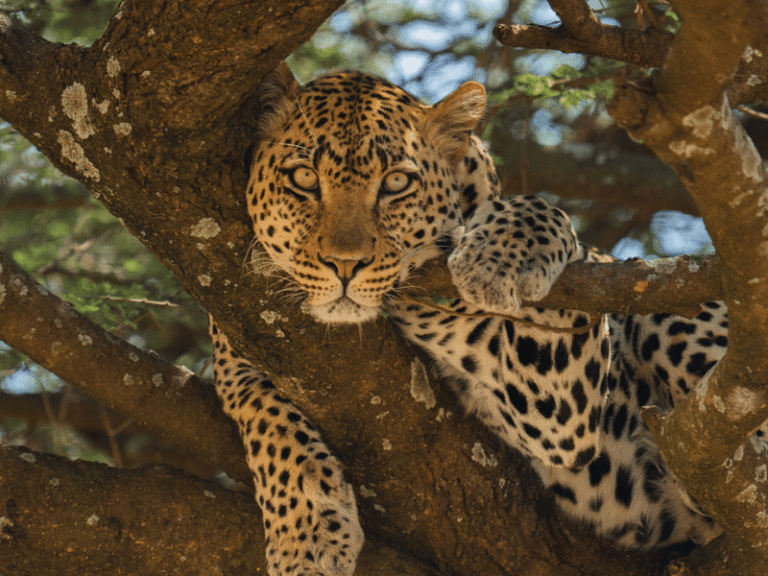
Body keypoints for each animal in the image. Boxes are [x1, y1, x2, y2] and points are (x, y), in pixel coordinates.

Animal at [208, 62, 753, 575]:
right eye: (303, 179)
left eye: (396, 183)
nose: (345, 265)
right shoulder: (237, 354)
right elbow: (272, 426)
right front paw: (307, 538)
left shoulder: (564, 412)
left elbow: (534, 214)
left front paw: (494, 256)